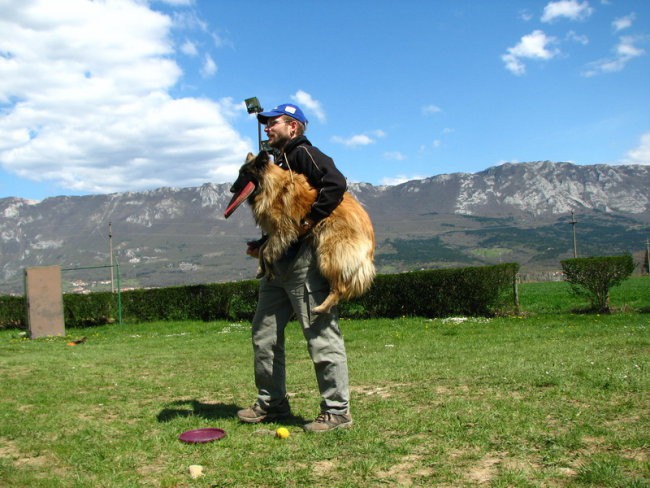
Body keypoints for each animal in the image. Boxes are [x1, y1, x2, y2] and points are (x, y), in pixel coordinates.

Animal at [224, 151, 372, 314]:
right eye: (240, 173)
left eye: (245, 173)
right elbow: (263, 248)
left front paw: (269, 271)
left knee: (340, 288)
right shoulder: (276, 233)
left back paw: (321, 308)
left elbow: (267, 252)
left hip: (329, 254)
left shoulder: (284, 230)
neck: (271, 187)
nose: (231, 189)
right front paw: (261, 268)